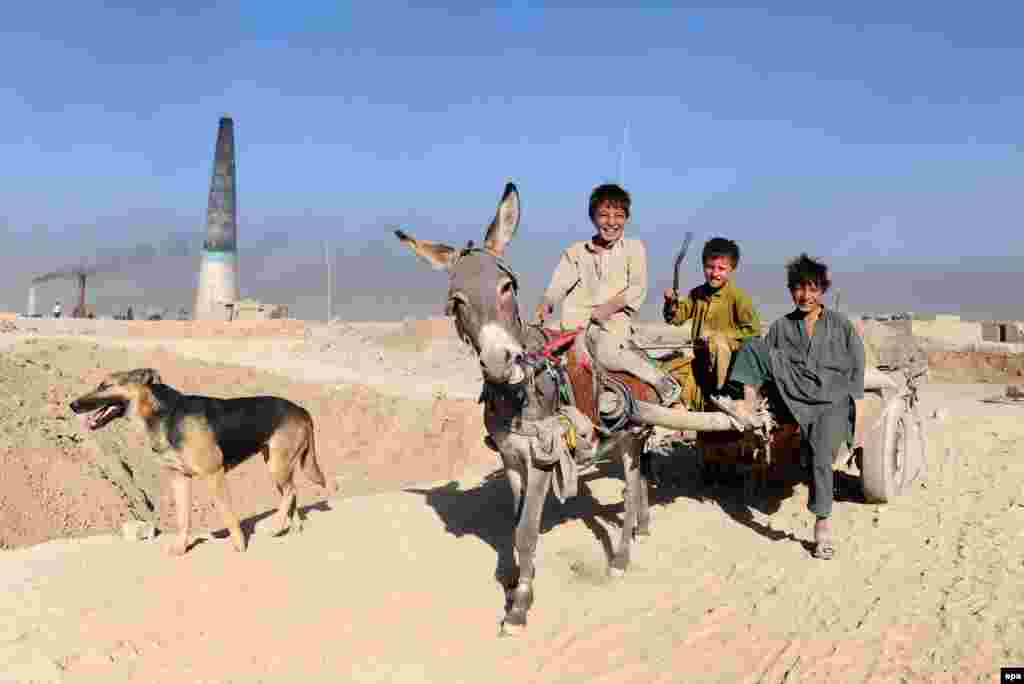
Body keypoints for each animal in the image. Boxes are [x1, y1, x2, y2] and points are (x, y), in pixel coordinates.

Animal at [69, 368, 323, 557]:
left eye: (105, 385)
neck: (164, 412)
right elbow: (183, 518)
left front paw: (239, 546)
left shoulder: (214, 474)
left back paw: (276, 528)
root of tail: (302, 410)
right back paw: (292, 528)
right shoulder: (179, 478)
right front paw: (181, 548)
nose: (72, 405)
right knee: (292, 492)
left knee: (290, 491)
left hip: (277, 466)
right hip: (277, 463)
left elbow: (228, 514)